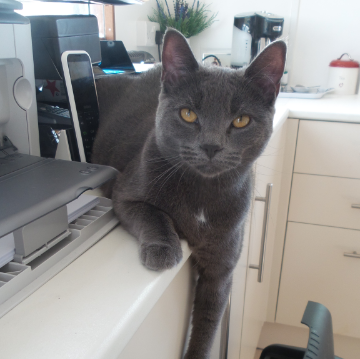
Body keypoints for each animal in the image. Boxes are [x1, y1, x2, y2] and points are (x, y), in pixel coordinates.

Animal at [93, 28, 286, 359]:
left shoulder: (223, 265)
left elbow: (208, 322)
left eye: (241, 120)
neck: (202, 196)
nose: (211, 145)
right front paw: (164, 249)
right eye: (188, 114)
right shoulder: (124, 194)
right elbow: (151, 212)